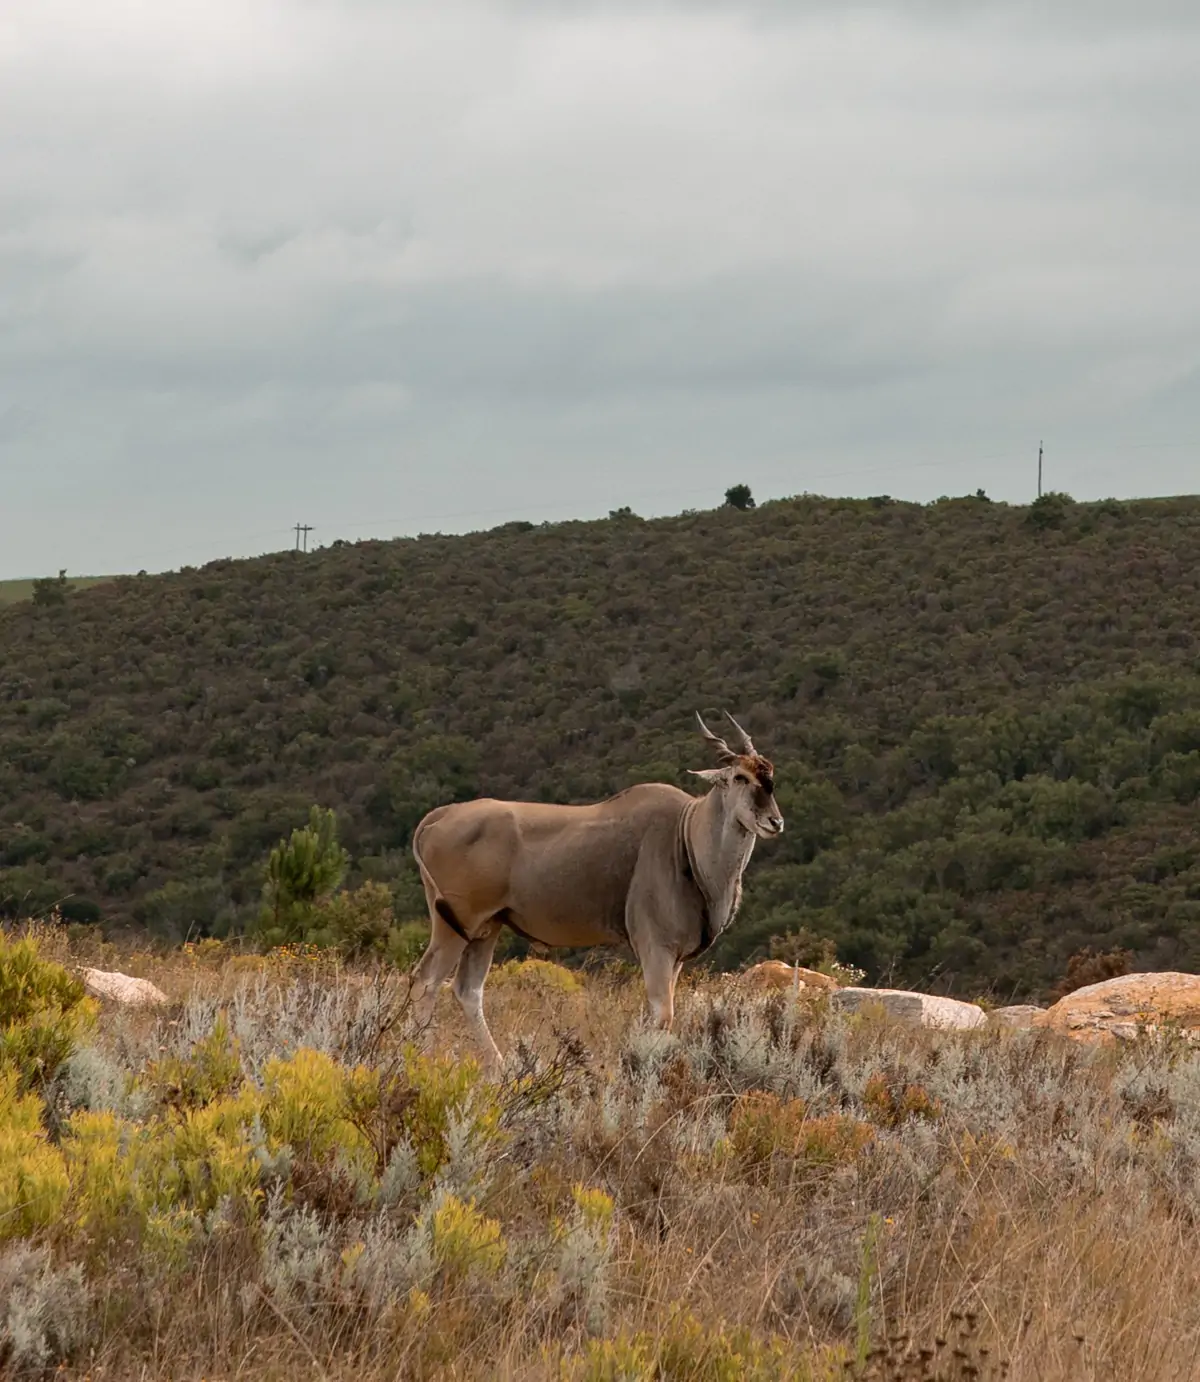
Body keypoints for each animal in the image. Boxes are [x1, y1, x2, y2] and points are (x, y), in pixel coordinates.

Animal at [406, 713, 785, 1066]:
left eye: (770, 776)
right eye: (740, 777)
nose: (775, 822)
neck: (685, 836)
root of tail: (438, 816)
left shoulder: (674, 958)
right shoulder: (656, 947)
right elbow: (662, 1015)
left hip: (486, 928)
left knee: (467, 991)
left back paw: (497, 1068)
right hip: (456, 925)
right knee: (425, 982)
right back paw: (421, 1060)